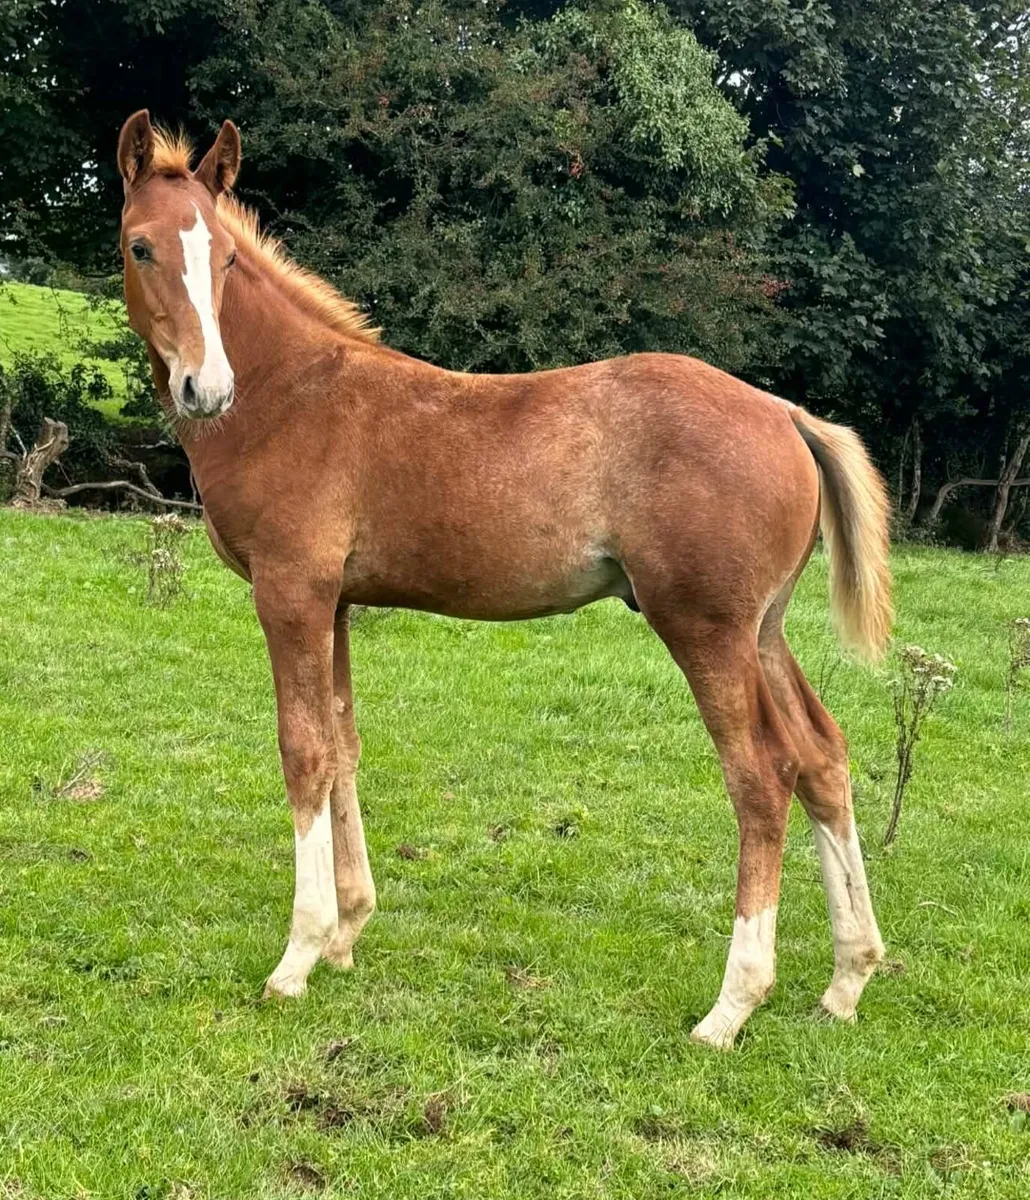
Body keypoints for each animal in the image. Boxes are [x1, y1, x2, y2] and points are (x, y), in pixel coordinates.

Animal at [115, 110, 891, 1049]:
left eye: (225, 258)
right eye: (142, 247)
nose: (207, 387)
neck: (289, 394)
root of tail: (785, 413)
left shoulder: (290, 593)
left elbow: (304, 753)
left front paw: (297, 959)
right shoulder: (336, 604)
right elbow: (343, 747)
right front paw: (347, 934)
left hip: (703, 628)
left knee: (761, 777)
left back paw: (730, 1007)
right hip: (762, 630)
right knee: (822, 758)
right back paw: (847, 981)